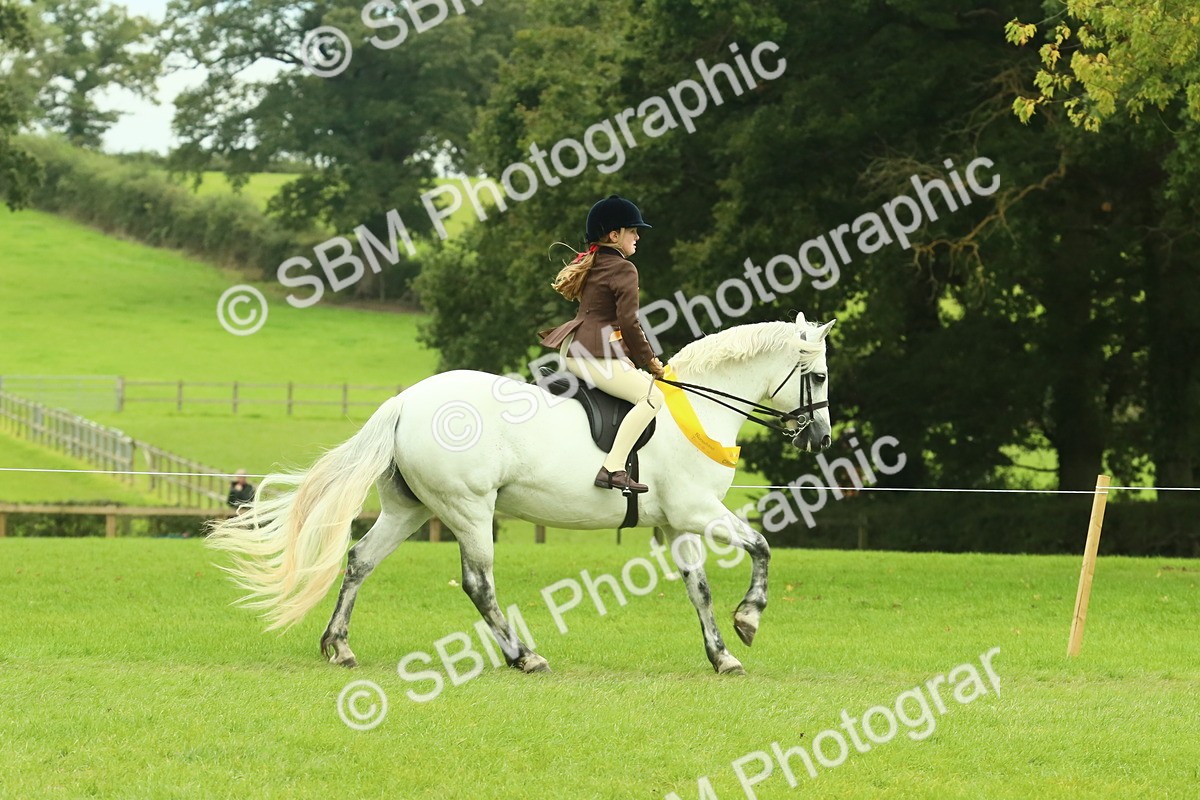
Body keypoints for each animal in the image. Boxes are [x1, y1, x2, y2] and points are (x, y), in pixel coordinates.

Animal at [206, 316, 835, 675]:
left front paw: (723, 654)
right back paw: (523, 656)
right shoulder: (697, 511)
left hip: (411, 509)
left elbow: (698, 590)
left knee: (360, 560)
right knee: (479, 584)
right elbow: (762, 547)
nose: (820, 437)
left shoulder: (676, 523)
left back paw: (338, 647)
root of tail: (405, 401)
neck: (699, 407)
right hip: (468, 509)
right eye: (822, 377)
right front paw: (749, 620)